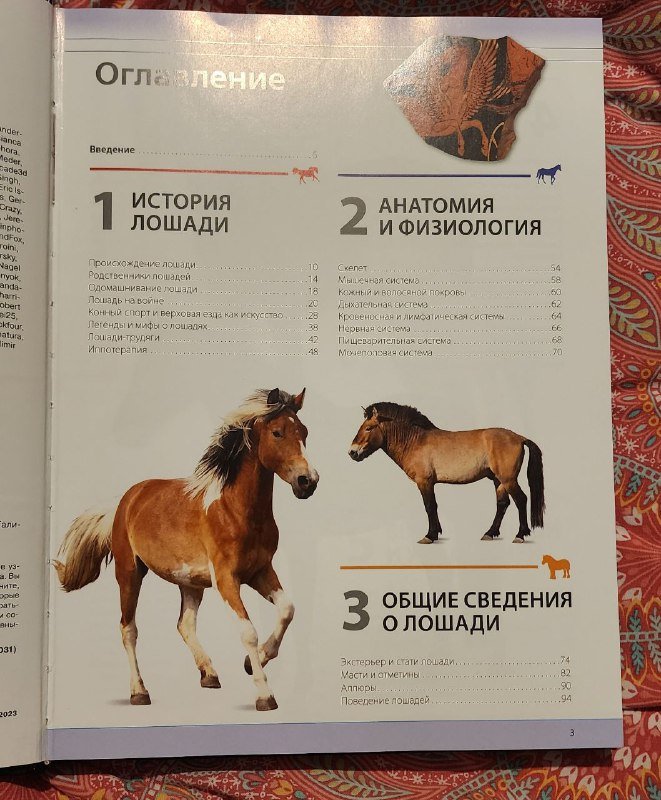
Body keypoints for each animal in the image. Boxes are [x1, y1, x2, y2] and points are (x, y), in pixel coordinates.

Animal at [54, 388, 319, 711]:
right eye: (277, 432)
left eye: (304, 431)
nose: (308, 481)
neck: (235, 510)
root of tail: (125, 500)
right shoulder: (226, 579)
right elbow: (248, 631)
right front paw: (265, 695)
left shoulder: (260, 571)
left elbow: (287, 610)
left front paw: (251, 663)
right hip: (129, 573)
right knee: (128, 629)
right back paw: (139, 692)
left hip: (190, 582)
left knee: (184, 625)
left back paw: (209, 674)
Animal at [349, 403, 544, 545]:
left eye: (369, 428)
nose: (352, 452)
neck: (416, 441)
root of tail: (519, 437)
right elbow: (433, 506)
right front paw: (435, 533)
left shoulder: (425, 482)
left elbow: (430, 506)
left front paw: (429, 536)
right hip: (498, 480)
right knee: (503, 504)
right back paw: (490, 533)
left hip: (508, 479)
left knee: (521, 500)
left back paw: (520, 535)